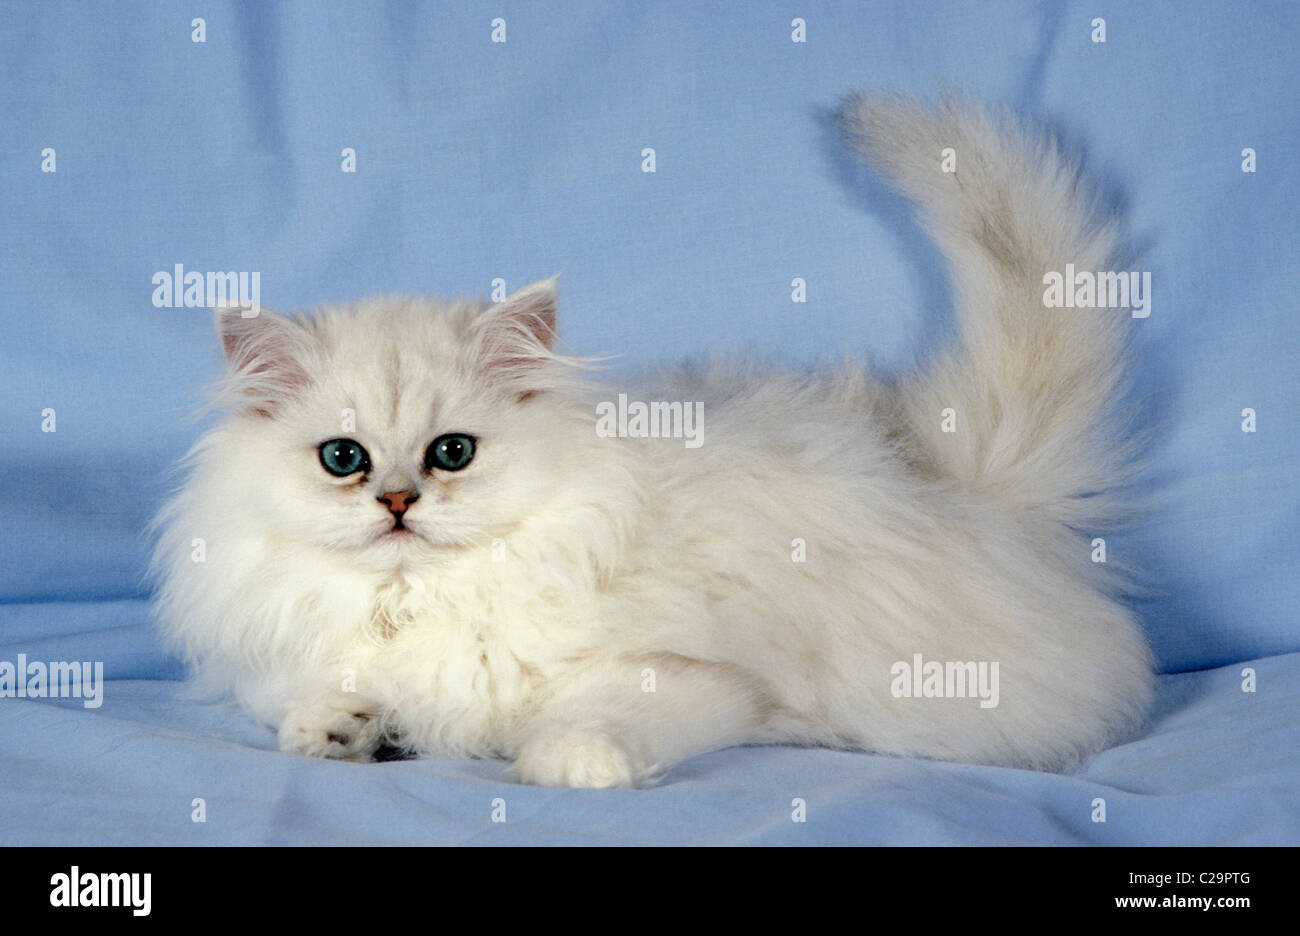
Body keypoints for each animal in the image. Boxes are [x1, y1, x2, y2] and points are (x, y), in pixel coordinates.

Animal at [147, 96, 1154, 780]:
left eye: (452, 453)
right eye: (343, 460)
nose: (399, 502)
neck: (428, 599)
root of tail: (959, 484)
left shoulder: (695, 676)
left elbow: (597, 717)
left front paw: (567, 765)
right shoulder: (293, 657)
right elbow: (321, 693)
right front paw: (340, 731)